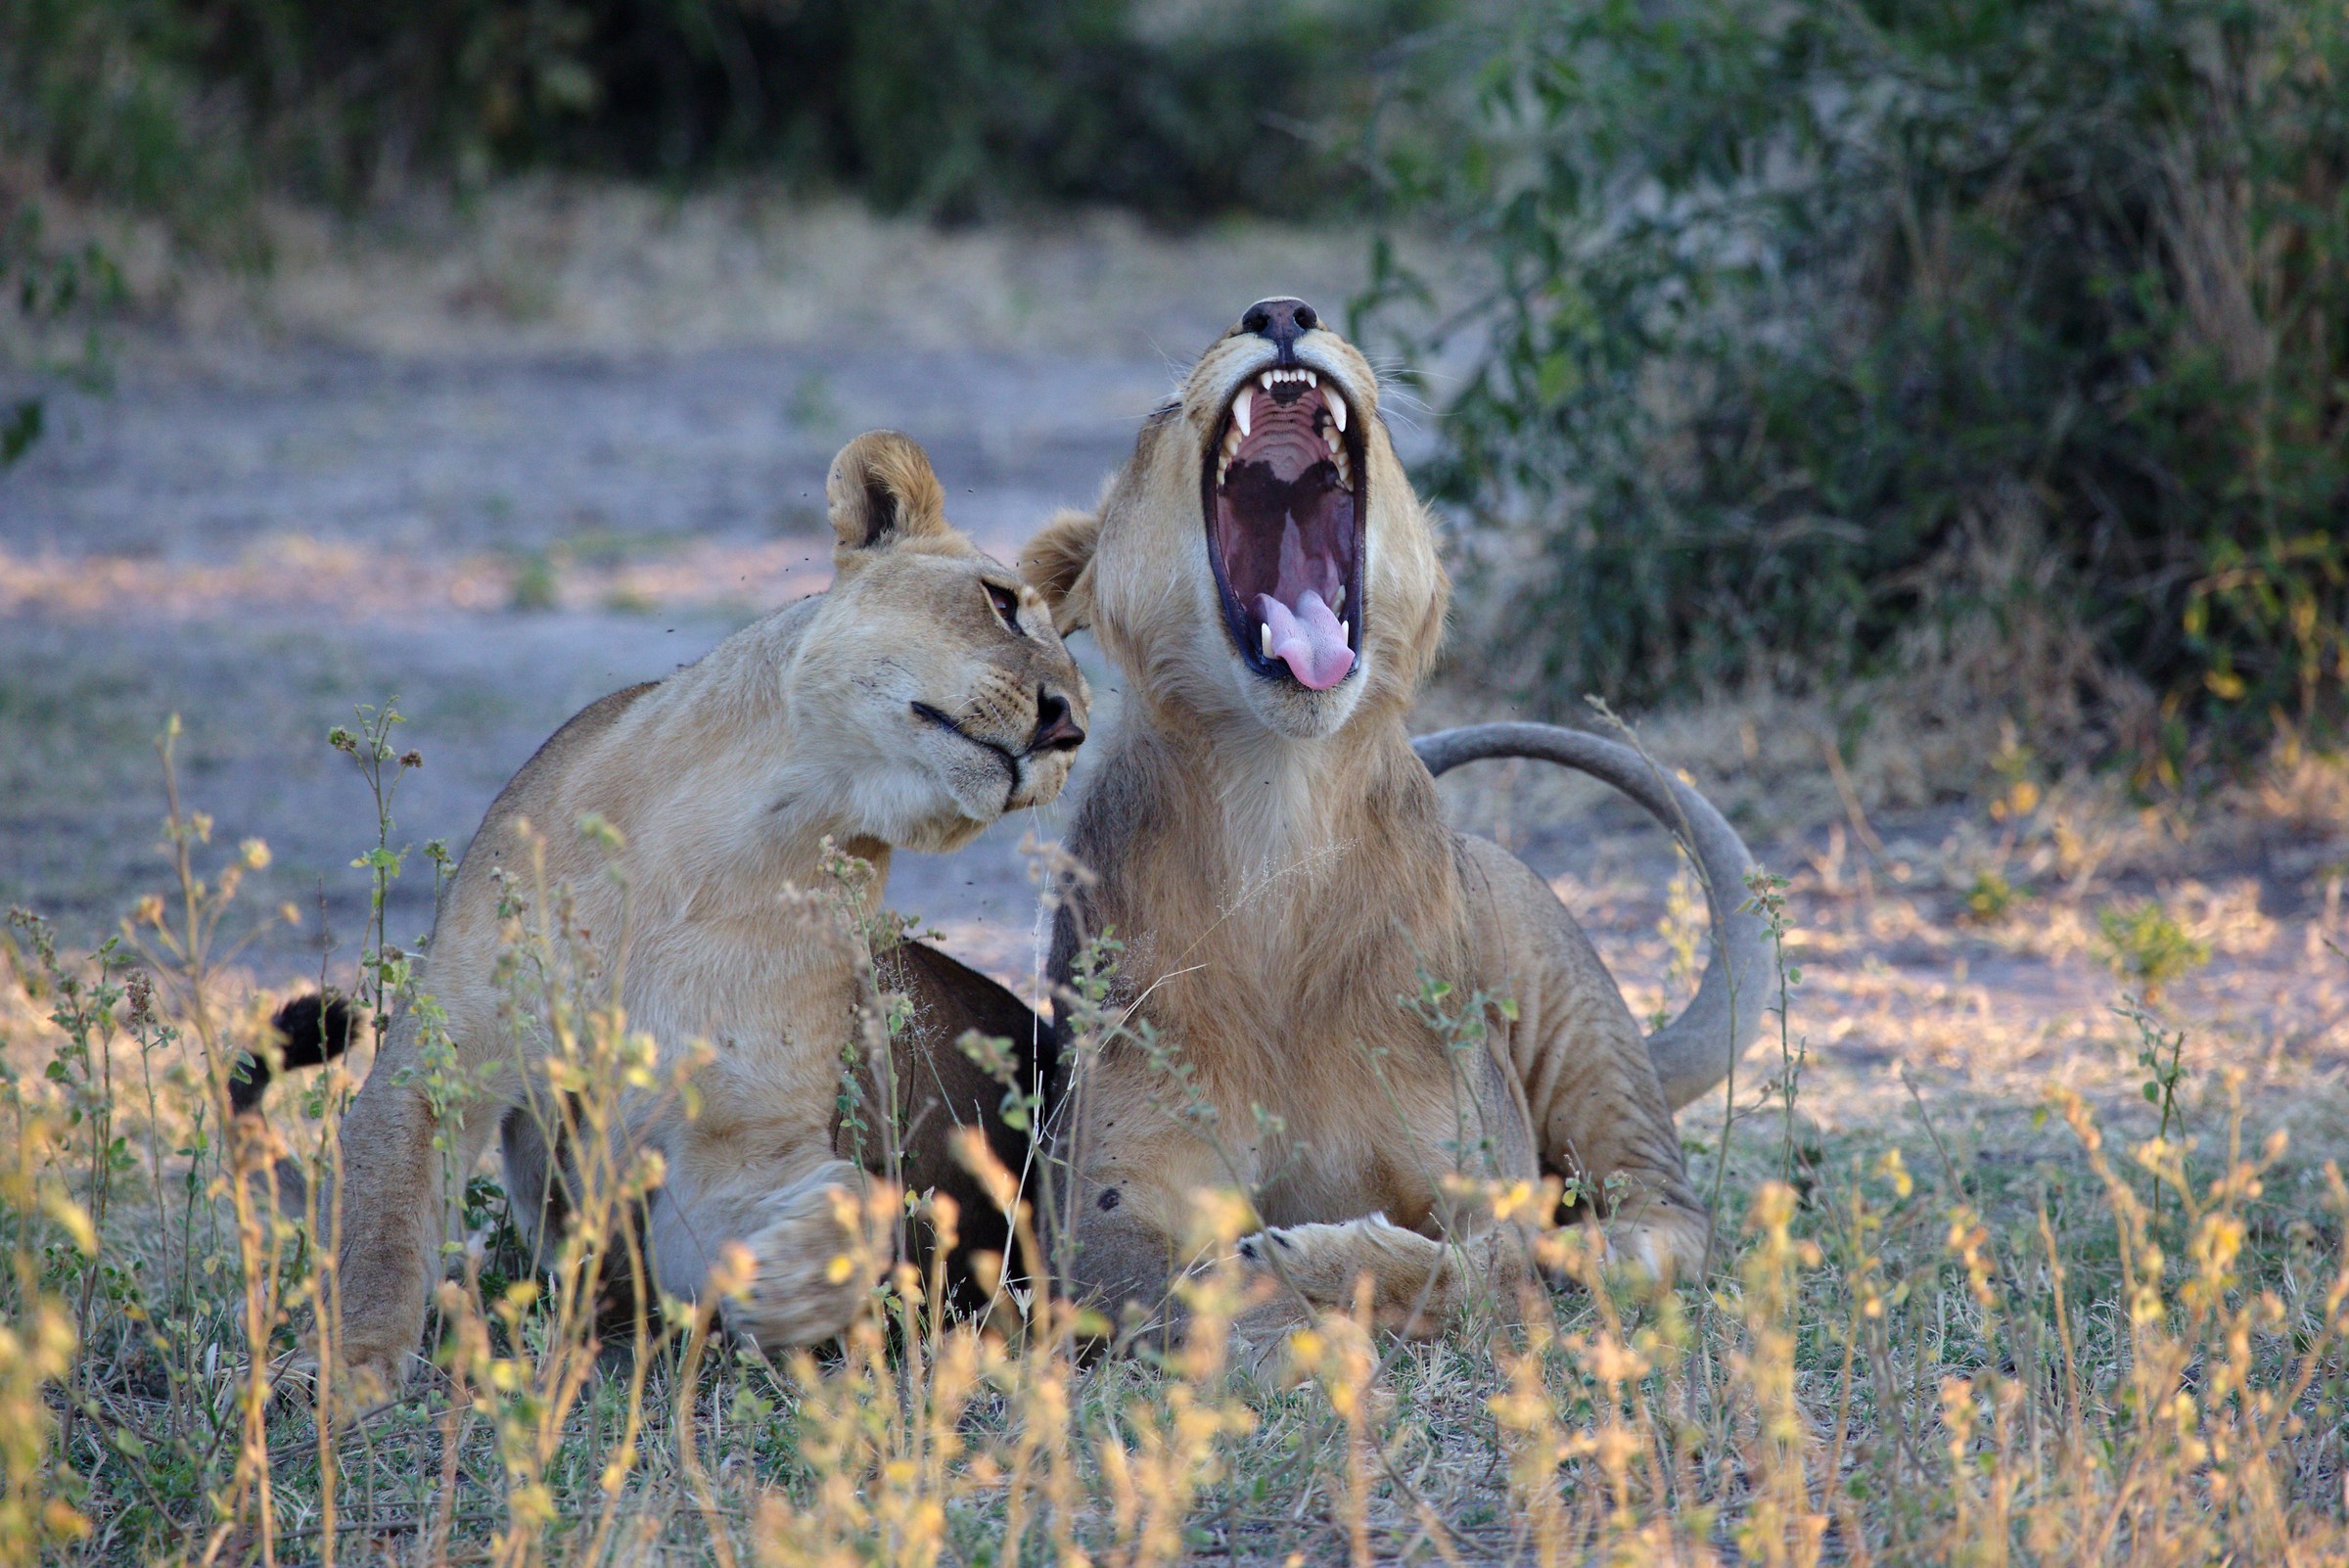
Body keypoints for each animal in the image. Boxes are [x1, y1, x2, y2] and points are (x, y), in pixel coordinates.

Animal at [315, 430, 1088, 1390]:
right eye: (1000, 602)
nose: (1068, 728)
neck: (750, 832)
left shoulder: (729, 1147)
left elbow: (845, 1200)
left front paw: (793, 1277)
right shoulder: (442, 1054)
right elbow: (378, 1233)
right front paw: (340, 1381)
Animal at [1018, 299, 1768, 1337]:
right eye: (1165, 408)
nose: (1281, 312)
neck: (1279, 811)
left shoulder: (1481, 1171)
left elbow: (1484, 1267)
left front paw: (1324, 1260)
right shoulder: (1100, 1211)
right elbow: (1185, 1283)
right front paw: (1288, 1308)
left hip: (1571, 1009)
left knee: (1667, 1216)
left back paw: (1596, 1258)